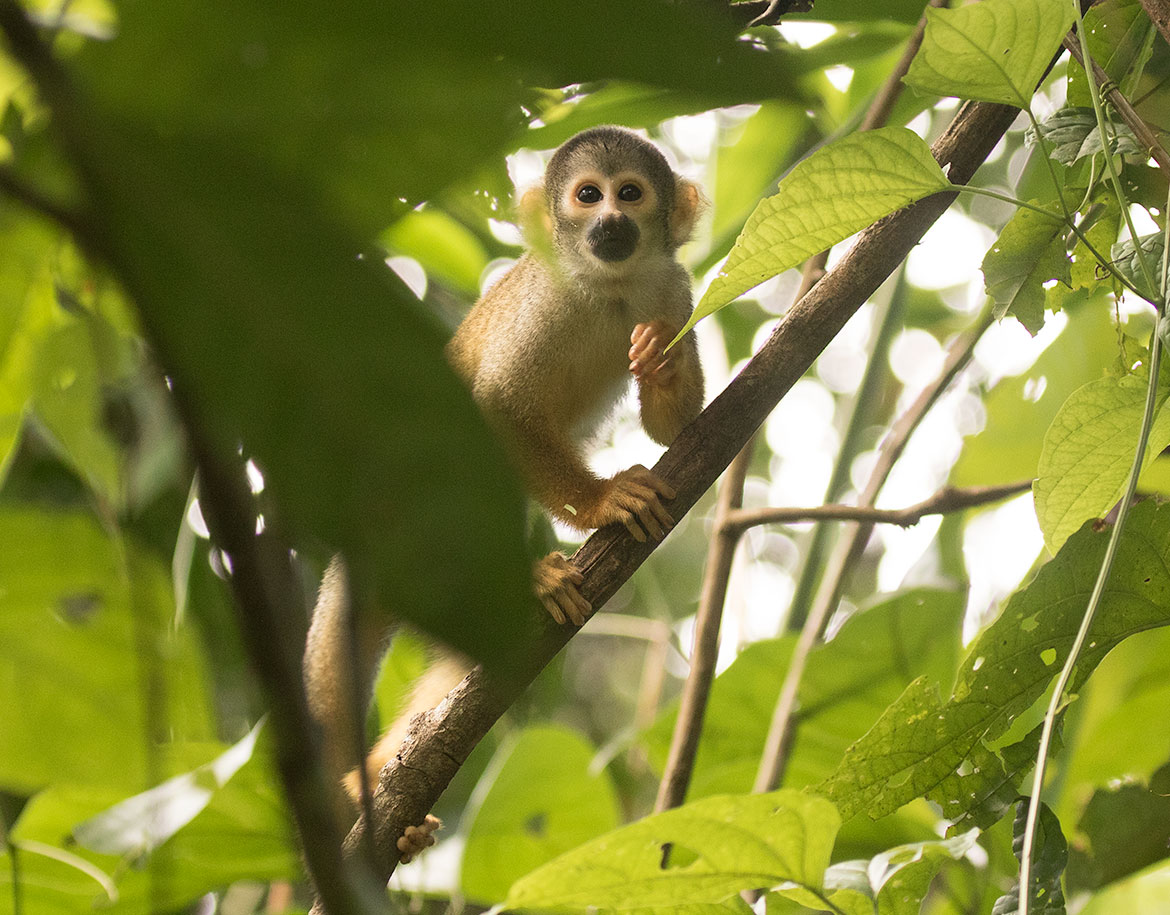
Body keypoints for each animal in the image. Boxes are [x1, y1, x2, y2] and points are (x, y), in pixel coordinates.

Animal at [303, 126, 705, 861]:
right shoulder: (543, 303)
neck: (607, 286)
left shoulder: (674, 288)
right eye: (588, 195)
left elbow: (676, 426)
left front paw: (660, 363)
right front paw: (603, 502)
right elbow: (496, 410)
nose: (610, 222)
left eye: (630, 193)